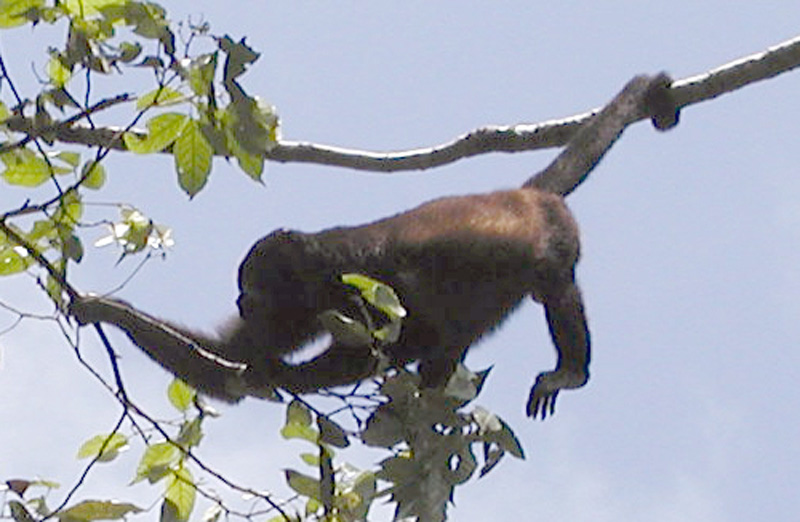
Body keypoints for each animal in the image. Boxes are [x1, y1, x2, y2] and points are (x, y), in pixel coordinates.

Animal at [72, 73, 680, 418]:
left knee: (553, 290)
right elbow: (233, 357)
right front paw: (106, 307)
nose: (243, 301)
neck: (318, 268)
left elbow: (410, 332)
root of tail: (524, 195)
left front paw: (287, 377)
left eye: (253, 286)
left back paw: (569, 370)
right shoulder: (305, 310)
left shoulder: (364, 284)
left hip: (557, 239)